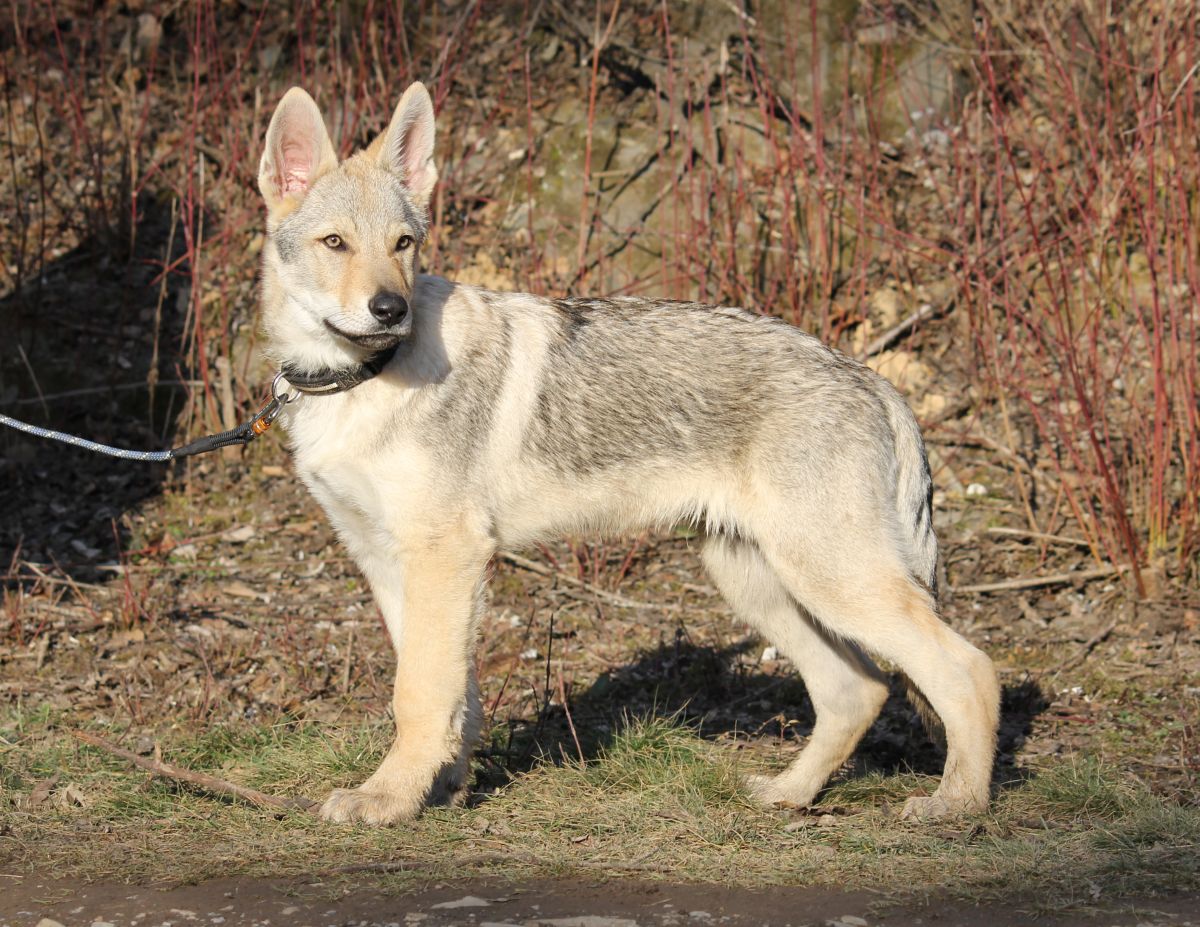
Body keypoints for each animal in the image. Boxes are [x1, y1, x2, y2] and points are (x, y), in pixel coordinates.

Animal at [258, 83, 998, 821]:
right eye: (335, 243)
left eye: (403, 244)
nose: (391, 310)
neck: (358, 382)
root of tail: (869, 377)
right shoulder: (389, 560)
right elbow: (450, 700)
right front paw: (440, 788)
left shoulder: (446, 556)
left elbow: (418, 695)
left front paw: (386, 799)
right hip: (760, 581)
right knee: (859, 691)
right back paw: (788, 794)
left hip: (832, 580)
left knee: (969, 671)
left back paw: (954, 805)